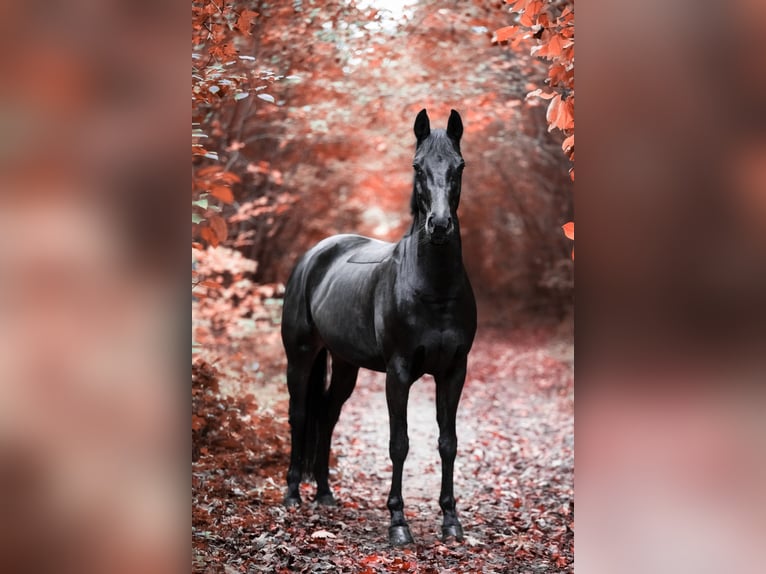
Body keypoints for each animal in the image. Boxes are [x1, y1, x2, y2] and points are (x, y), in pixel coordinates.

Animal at [280, 110, 474, 548]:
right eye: (417, 166)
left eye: (459, 166)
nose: (439, 226)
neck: (434, 288)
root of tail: (315, 254)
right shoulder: (398, 373)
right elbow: (399, 444)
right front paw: (398, 523)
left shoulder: (454, 372)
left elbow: (448, 443)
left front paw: (450, 520)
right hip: (300, 357)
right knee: (299, 414)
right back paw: (293, 494)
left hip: (344, 364)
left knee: (326, 414)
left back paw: (325, 494)